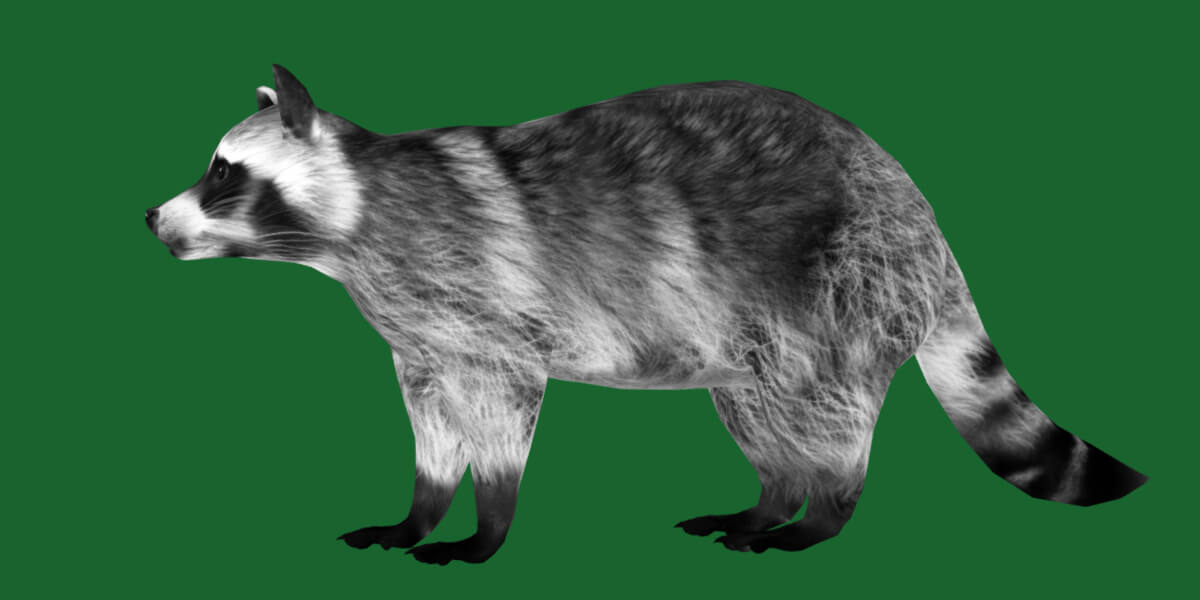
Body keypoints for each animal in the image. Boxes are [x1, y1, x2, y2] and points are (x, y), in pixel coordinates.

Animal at [146, 65, 1147, 565]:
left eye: (225, 172)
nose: (154, 218)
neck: (358, 214)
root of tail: (920, 211)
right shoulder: (423, 339)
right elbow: (431, 424)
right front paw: (422, 507)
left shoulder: (485, 307)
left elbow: (504, 415)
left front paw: (487, 526)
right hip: (757, 336)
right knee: (759, 412)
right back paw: (768, 499)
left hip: (837, 286)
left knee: (830, 409)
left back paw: (823, 509)